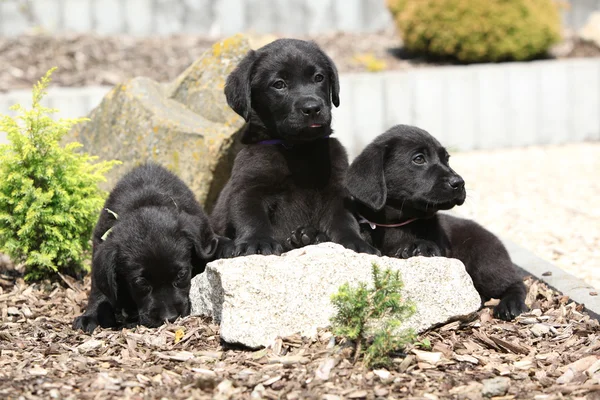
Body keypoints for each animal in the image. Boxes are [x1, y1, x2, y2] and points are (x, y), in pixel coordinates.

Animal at [72, 161, 226, 332]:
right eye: (141, 283)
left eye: (181, 275)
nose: (169, 317)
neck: (145, 201)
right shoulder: (99, 246)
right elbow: (99, 287)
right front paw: (91, 315)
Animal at [211, 38, 378, 256]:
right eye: (279, 84)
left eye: (318, 77)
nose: (312, 108)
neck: (299, 149)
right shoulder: (249, 188)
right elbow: (251, 216)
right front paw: (257, 241)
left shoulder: (337, 190)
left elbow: (345, 220)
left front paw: (355, 241)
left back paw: (307, 236)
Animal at [344, 126, 528, 320]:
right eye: (418, 159)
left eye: (446, 158)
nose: (459, 183)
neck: (397, 224)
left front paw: (421, 247)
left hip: (486, 262)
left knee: (516, 283)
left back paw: (510, 304)